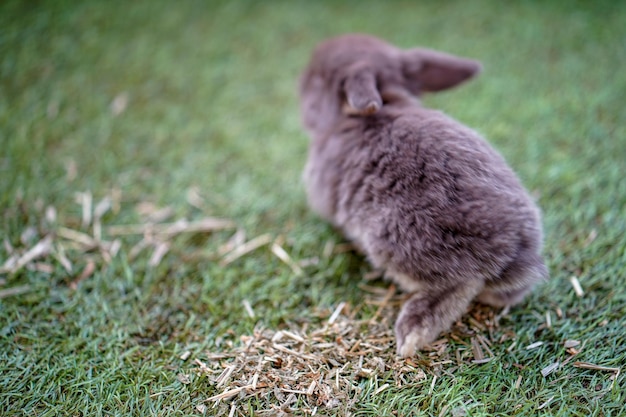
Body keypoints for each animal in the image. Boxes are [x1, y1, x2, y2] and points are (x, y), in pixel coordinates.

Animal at [298, 34, 544, 356]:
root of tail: (510, 253)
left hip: (399, 246)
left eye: (315, 79)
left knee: (456, 288)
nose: (299, 85)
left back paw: (410, 336)